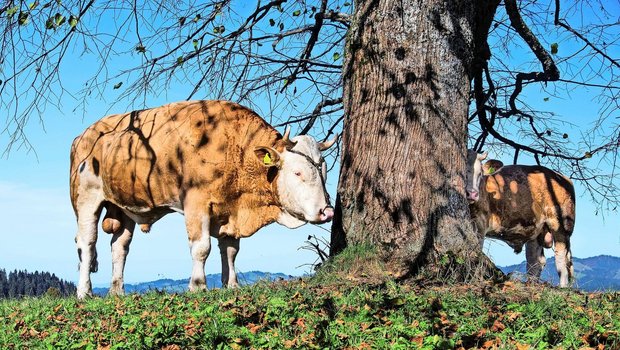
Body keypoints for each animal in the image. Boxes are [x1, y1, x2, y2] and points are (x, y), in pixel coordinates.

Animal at [69, 99, 336, 298]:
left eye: (323, 169)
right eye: (297, 172)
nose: (327, 211)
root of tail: (84, 135)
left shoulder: (230, 210)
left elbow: (230, 250)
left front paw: (231, 284)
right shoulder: (196, 204)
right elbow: (201, 247)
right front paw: (198, 285)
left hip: (124, 208)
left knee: (120, 247)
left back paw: (117, 291)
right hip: (86, 200)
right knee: (86, 244)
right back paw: (84, 292)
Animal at [464, 150, 576, 288]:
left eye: (480, 173)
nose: (472, 193)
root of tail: (561, 177)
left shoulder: (480, 224)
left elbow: (476, 250)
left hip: (561, 226)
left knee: (561, 259)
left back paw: (562, 287)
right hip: (536, 231)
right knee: (535, 261)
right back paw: (531, 284)